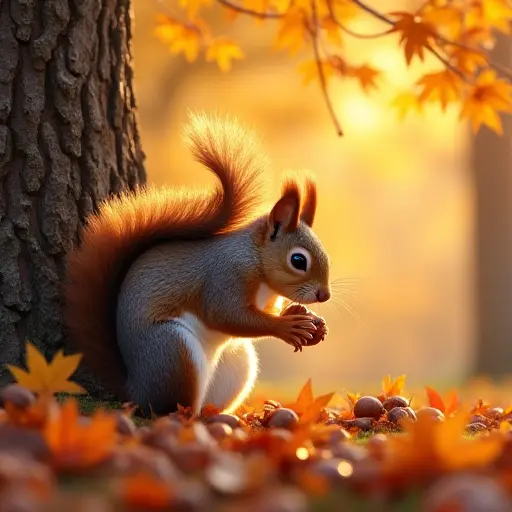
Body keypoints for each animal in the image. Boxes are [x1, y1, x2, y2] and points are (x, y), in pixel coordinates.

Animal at [63, 112, 332, 416]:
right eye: (298, 260)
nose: (324, 295)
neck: (257, 262)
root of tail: (135, 390)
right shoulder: (226, 275)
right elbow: (226, 314)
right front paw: (287, 327)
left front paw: (305, 316)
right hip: (173, 351)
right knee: (172, 407)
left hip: (236, 364)